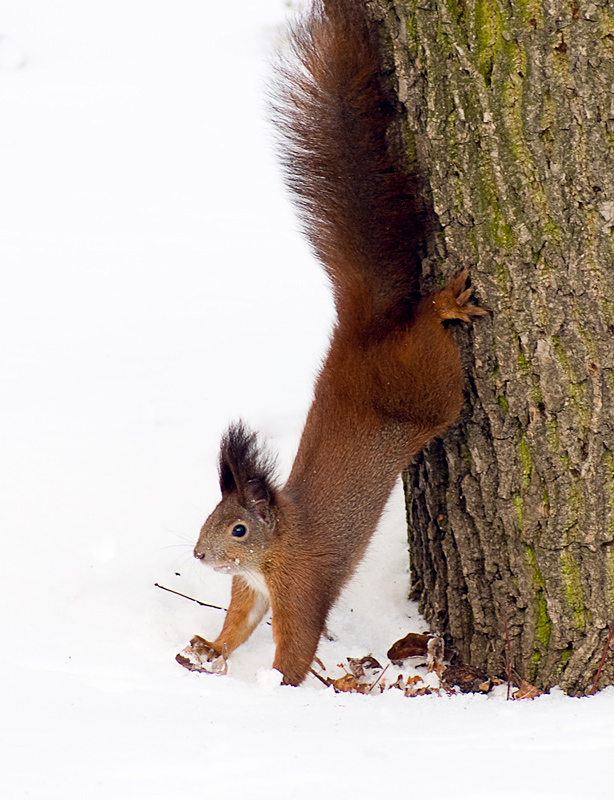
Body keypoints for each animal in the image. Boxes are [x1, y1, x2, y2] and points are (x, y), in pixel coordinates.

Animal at [177, 0, 486, 688]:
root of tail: (363, 332)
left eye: (238, 529)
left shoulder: (301, 582)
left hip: (430, 387)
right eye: (210, 519)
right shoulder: (251, 591)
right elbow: (237, 625)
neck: (275, 547)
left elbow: (296, 643)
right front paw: (209, 650)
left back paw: (443, 304)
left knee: (428, 334)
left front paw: (278, 688)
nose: (200, 554)